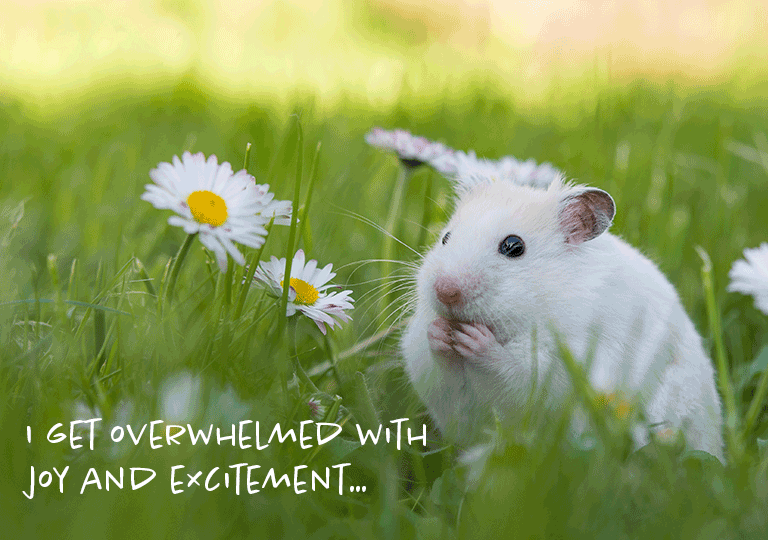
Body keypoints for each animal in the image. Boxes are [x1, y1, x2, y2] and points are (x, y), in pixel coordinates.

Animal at [401, 176, 725, 461]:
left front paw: (476, 341)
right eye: (445, 238)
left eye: (514, 246)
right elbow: (438, 368)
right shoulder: (436, 381)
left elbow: (516, 372)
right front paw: (439, 332)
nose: (445, 290)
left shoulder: (564, 366)